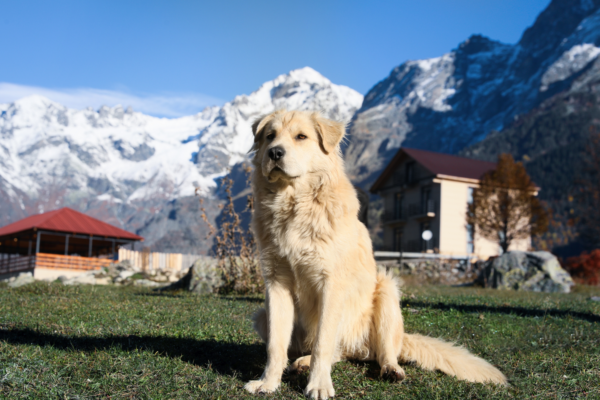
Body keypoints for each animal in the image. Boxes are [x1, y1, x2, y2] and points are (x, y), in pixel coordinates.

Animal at [244, 110, 506, 400]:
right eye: (270, 136)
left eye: (301, 137)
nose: (275, 153)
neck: (294, 204)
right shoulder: (277, 284)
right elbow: (276, 345)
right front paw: (268, 382)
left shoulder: (331, 285)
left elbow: (324, 343)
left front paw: (319, 385)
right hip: (261, 315)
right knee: (336, 352)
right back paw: (301, 362)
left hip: (386, 291)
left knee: (380, 352)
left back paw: (390, 369)